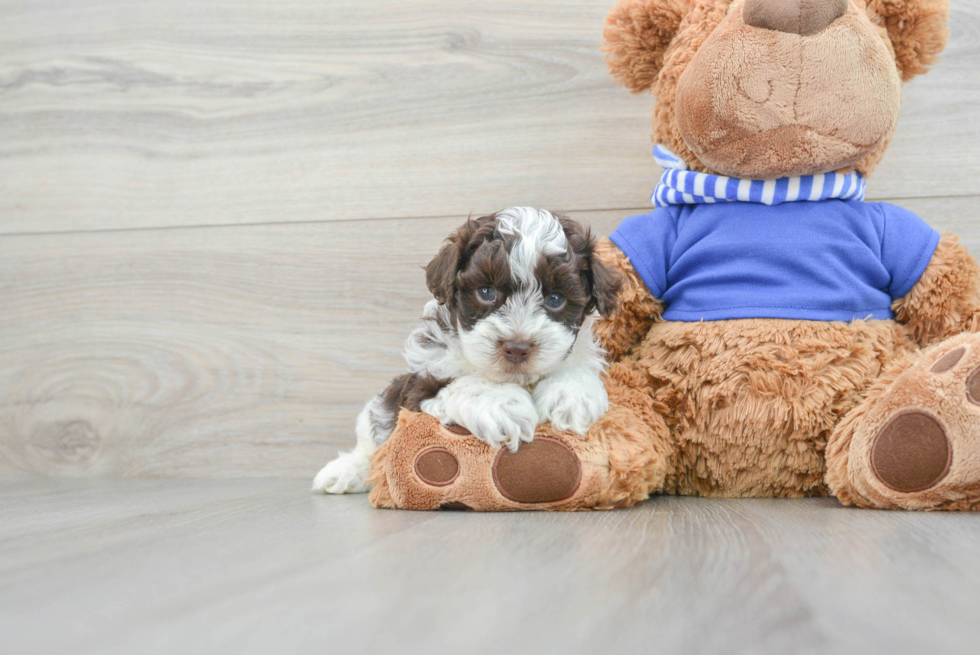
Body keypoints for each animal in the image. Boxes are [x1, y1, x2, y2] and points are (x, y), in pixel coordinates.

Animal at [314, 208, 620, 494]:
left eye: (555, 299)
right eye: (486, 292)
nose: (517, 347)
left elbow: (576, 369)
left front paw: (571, 394)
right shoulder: (418, 389)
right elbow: (462, 385)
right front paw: (501, 404)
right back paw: (345, 472)